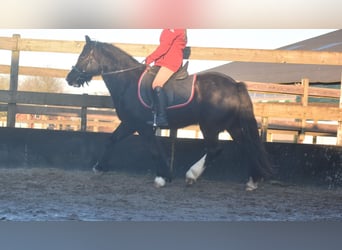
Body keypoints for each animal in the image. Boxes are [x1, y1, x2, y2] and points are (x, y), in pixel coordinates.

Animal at [65, 35, 272, 190]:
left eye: (83, 57)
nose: (70, 78)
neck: (128, 81)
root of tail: (235, 85)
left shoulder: (140, 126)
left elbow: (153, 150)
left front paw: (161, 178)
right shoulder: (131, 124)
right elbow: (113, 140)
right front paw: (99, 167)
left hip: (210, 126)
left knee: (215, 149)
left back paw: (192, 175)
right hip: (232, 125)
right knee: (247, 146)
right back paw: (253, 180)